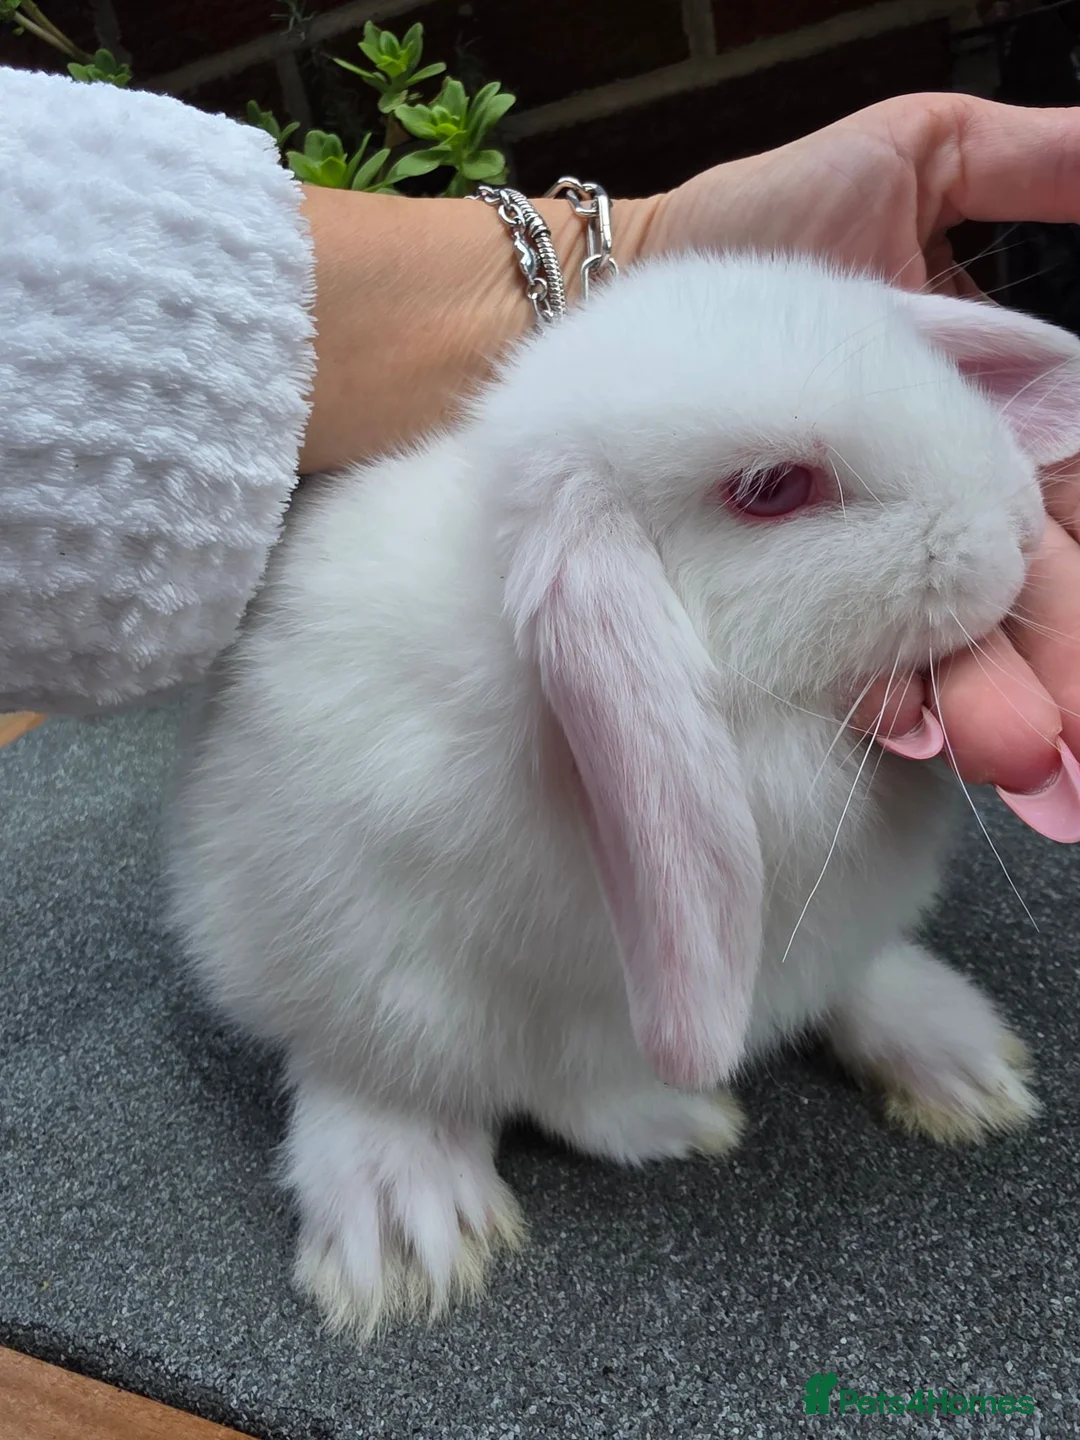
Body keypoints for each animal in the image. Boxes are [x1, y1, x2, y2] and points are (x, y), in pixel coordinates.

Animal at [166, 251, 1080, 1339]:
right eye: (773, 489)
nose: (1015, 527)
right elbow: (571, 1094)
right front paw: (683, 1119)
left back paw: (958, 1060)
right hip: (332, 956)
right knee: (373, 1069)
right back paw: (413, 1225)